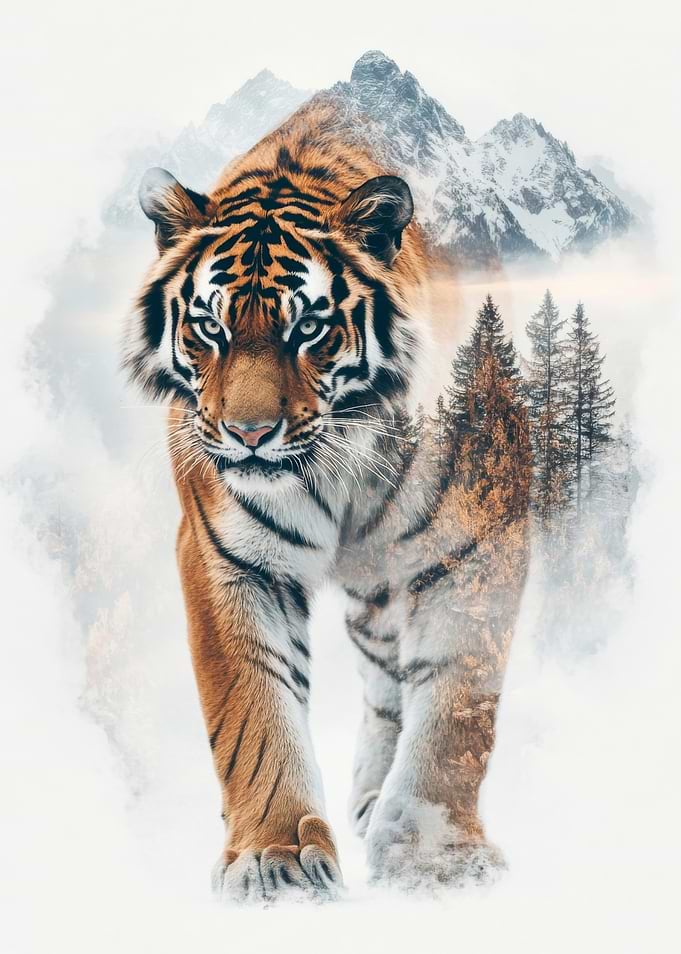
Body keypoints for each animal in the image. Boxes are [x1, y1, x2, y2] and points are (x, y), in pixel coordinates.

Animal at [125, 96, 530, 902]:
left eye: (308, 327)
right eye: (209, 326)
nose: (249, 434)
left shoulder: (481, 537)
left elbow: (457, 705)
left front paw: (435, 853)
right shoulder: (227, 557)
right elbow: (252, 711)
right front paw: (274, 859)